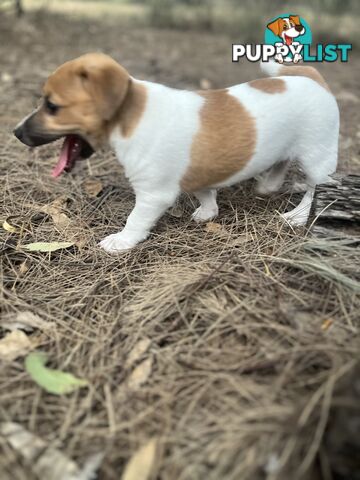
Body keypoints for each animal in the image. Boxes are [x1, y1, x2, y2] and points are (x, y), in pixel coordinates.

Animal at [12, 54, 338, 253]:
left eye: (52, 106)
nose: (15, 132)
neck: (132, 114)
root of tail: (312, 77)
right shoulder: (197, 175)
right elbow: (206, 193)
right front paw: (208, 211)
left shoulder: (153, 194)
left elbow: (135, 220)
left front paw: (122, 240)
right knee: (280, 165)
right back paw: (268, 185)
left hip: (316, 158)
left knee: (316, 189)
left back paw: (298, 216)